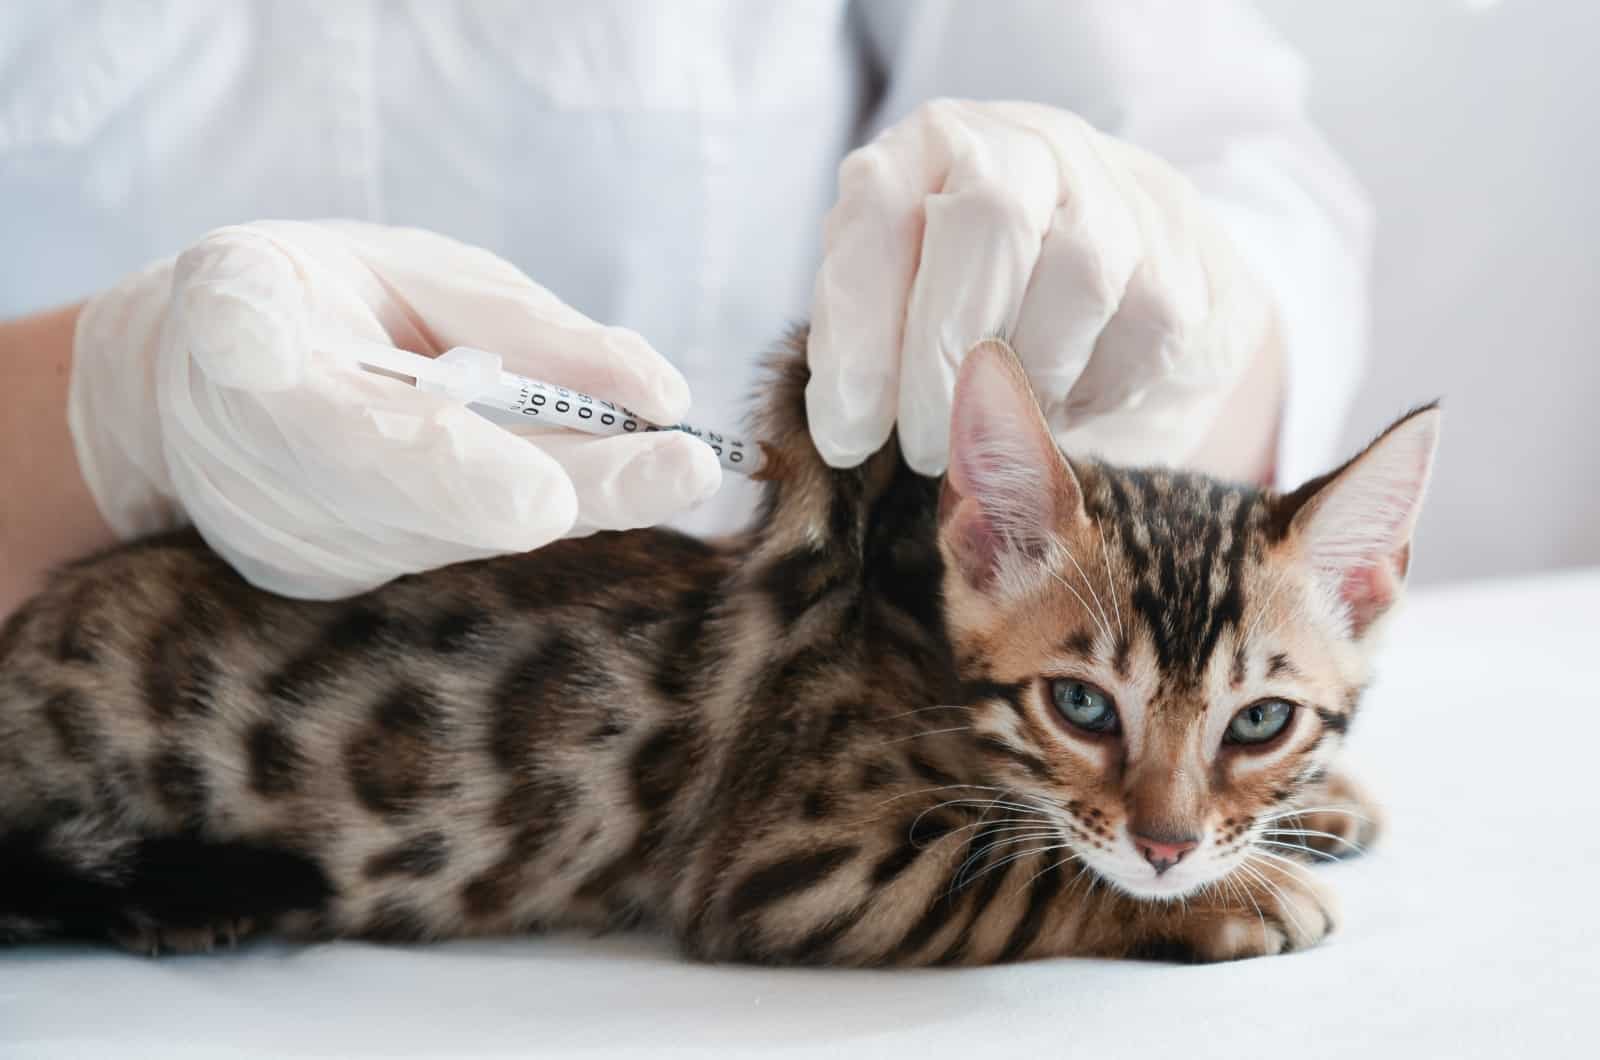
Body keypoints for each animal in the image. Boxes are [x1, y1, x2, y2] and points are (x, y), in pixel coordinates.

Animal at [0, 336, 1440, 967]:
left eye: (1259, 722)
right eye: (1083, 706)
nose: (1168, 843)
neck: (917, 648)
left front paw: (1317, 810)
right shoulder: (796, 864)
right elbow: (1025, 872)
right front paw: (1234, 896)